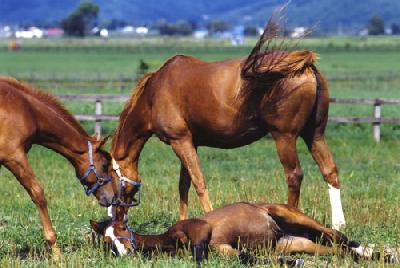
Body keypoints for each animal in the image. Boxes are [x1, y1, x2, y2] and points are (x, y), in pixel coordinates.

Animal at [0, 78, 118, 255]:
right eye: (104, 165)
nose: (111, 198)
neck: (26, 110)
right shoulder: (14, 157)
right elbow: (38, 193)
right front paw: (56, 252)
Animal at [109, 17, 346, 229]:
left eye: (108, 176)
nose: (114, 216)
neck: (154, 93)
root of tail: (305, 66)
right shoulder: (189, 143)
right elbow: (184, 185)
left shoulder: (180, 141)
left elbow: (199, 183)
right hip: (315, 135)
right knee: (329, 171)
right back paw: (338, 224)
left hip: (284, 137)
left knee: (294, 175)